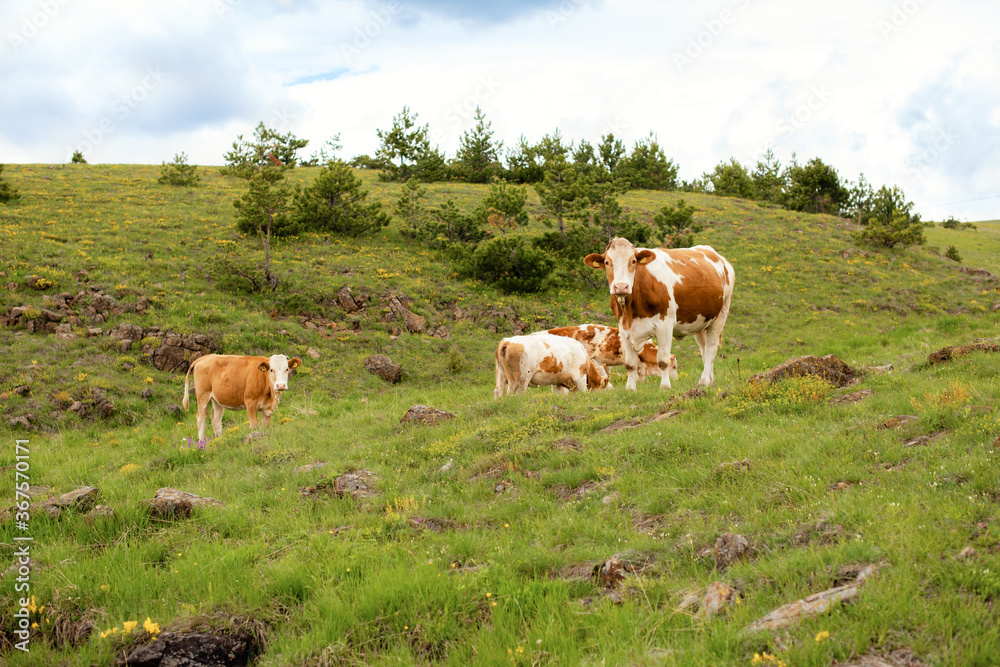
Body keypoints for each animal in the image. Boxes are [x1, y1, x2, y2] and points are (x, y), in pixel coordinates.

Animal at [584, 237, 736, 392]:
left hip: (720, 315)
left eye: (633, 261)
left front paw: (665, 386)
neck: (631, 311)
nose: (621, 287)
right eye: (607, 262)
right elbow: (631, 364)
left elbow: (663, 360)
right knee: (704, 349)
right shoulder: (623, 328)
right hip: (701, 322)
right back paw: (709, 381)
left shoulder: (665, 326)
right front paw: (630, 388)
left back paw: (704, 381)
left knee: (711, 348)